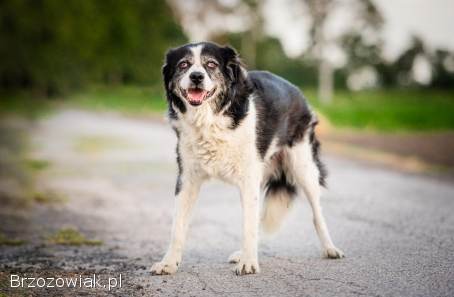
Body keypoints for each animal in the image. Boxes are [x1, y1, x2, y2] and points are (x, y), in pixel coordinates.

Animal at [151, 41, 342, 276]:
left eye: (211, 64)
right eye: (183, 65)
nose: (196, 76)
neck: (210, 119)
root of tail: (298, 92)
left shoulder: (248, 179)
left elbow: (248, 225)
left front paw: (249, 262)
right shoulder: (187, 179)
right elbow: (177, 227)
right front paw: (168, 263)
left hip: (304, 167)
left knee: (317, 213)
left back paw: (330, 248)